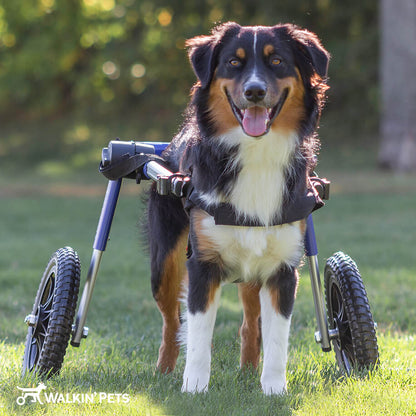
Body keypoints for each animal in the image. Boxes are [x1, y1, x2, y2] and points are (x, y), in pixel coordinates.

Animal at [145, 21, 328, 394]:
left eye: (276, 61)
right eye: (233, 62)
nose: (255, 91)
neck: (255, 154)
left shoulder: (282, 269)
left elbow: (276, 338)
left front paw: (273, 390)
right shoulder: (202, 264)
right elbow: (198, 335)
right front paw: (194, 389)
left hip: (252, 273)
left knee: (250, 325)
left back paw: (247, 373)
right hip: (164, 264)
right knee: (171, 323)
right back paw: (165, 373)